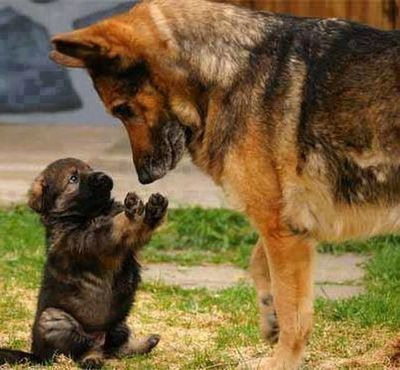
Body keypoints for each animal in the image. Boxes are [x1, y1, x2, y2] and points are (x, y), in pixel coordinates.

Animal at [0, 158, 167, 368]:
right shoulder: (94, 240)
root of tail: (37, 355)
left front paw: (153, 209)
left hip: (118, 323)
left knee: (115, 348)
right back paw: (92, 359)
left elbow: (135, 228)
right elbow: (118, 225)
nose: (104, 177)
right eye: (73, 178)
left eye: (90, 169)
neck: (92, 214)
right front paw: (134, 212)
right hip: (54, 321)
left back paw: (143, 344)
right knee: (84, 349)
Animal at [49, 1, 400, 368]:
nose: (144, 176)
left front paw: (280, 357)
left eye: (123, 110)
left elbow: (294, 313)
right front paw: (270, 316)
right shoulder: (284, 229)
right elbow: (259, 267)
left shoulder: (280, 230)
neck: (221, 74)